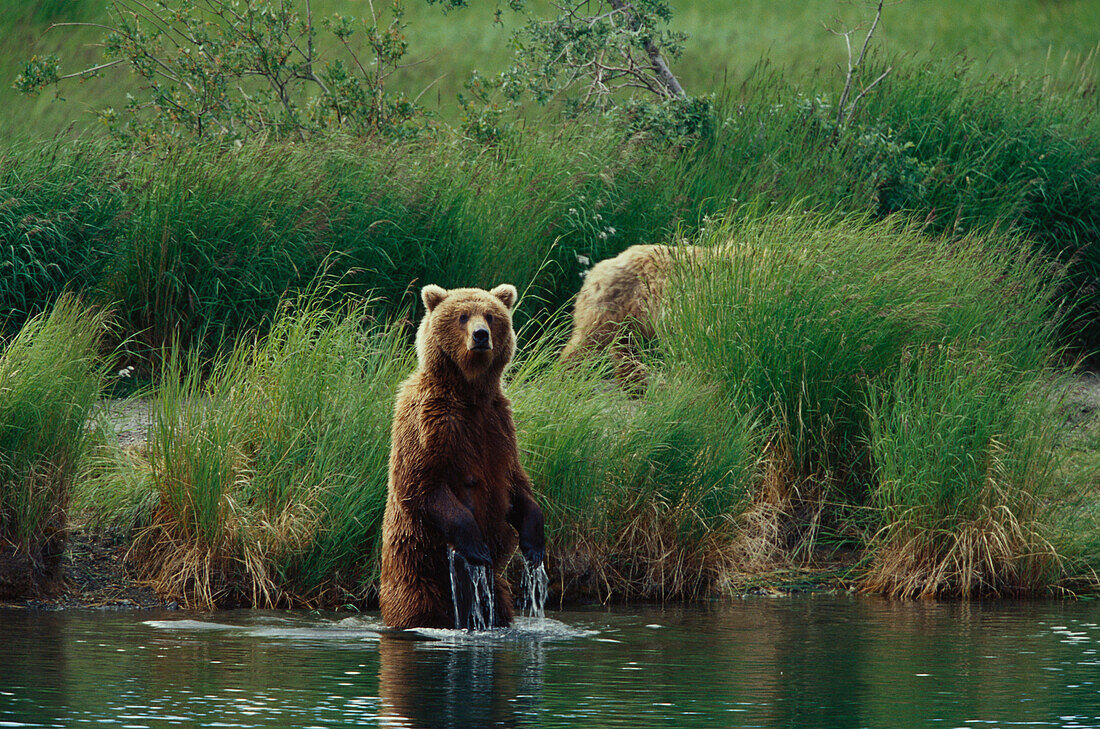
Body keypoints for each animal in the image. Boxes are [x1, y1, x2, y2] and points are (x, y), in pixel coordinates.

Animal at [382, 281, 545, 628]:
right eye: (462, 316)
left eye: (491, 315)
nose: (481, 335)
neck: (468, 392)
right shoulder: (430, 423)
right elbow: (422, 484)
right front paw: (475, 545)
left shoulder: (498, 425)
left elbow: (515, 483)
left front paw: (534, 541)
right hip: (415, 573)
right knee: (415, 607)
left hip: (498, 590)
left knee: (500, 605)